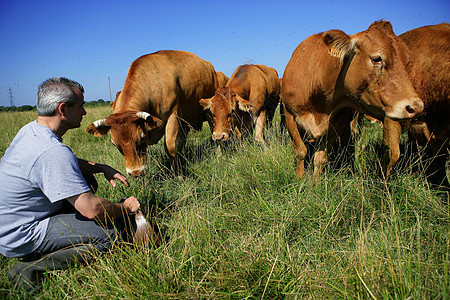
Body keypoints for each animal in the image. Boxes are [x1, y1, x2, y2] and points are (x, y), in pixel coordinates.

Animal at [85, 49, 218, 176]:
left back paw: (218, 153)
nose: (136, 173)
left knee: (214, 131)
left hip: (209, 111)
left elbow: (170, 147)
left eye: (141, 138)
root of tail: (209, 65)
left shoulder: (172, 116)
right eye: (115, 145)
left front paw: (178, 175)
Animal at [284, 21, 424, 180]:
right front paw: (300, 179)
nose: (416, 107)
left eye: (407, 60)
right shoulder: (289, 115)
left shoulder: (340, 121)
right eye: (376, 58)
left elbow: (321, 158)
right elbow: (300, 152)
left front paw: (316, 182)